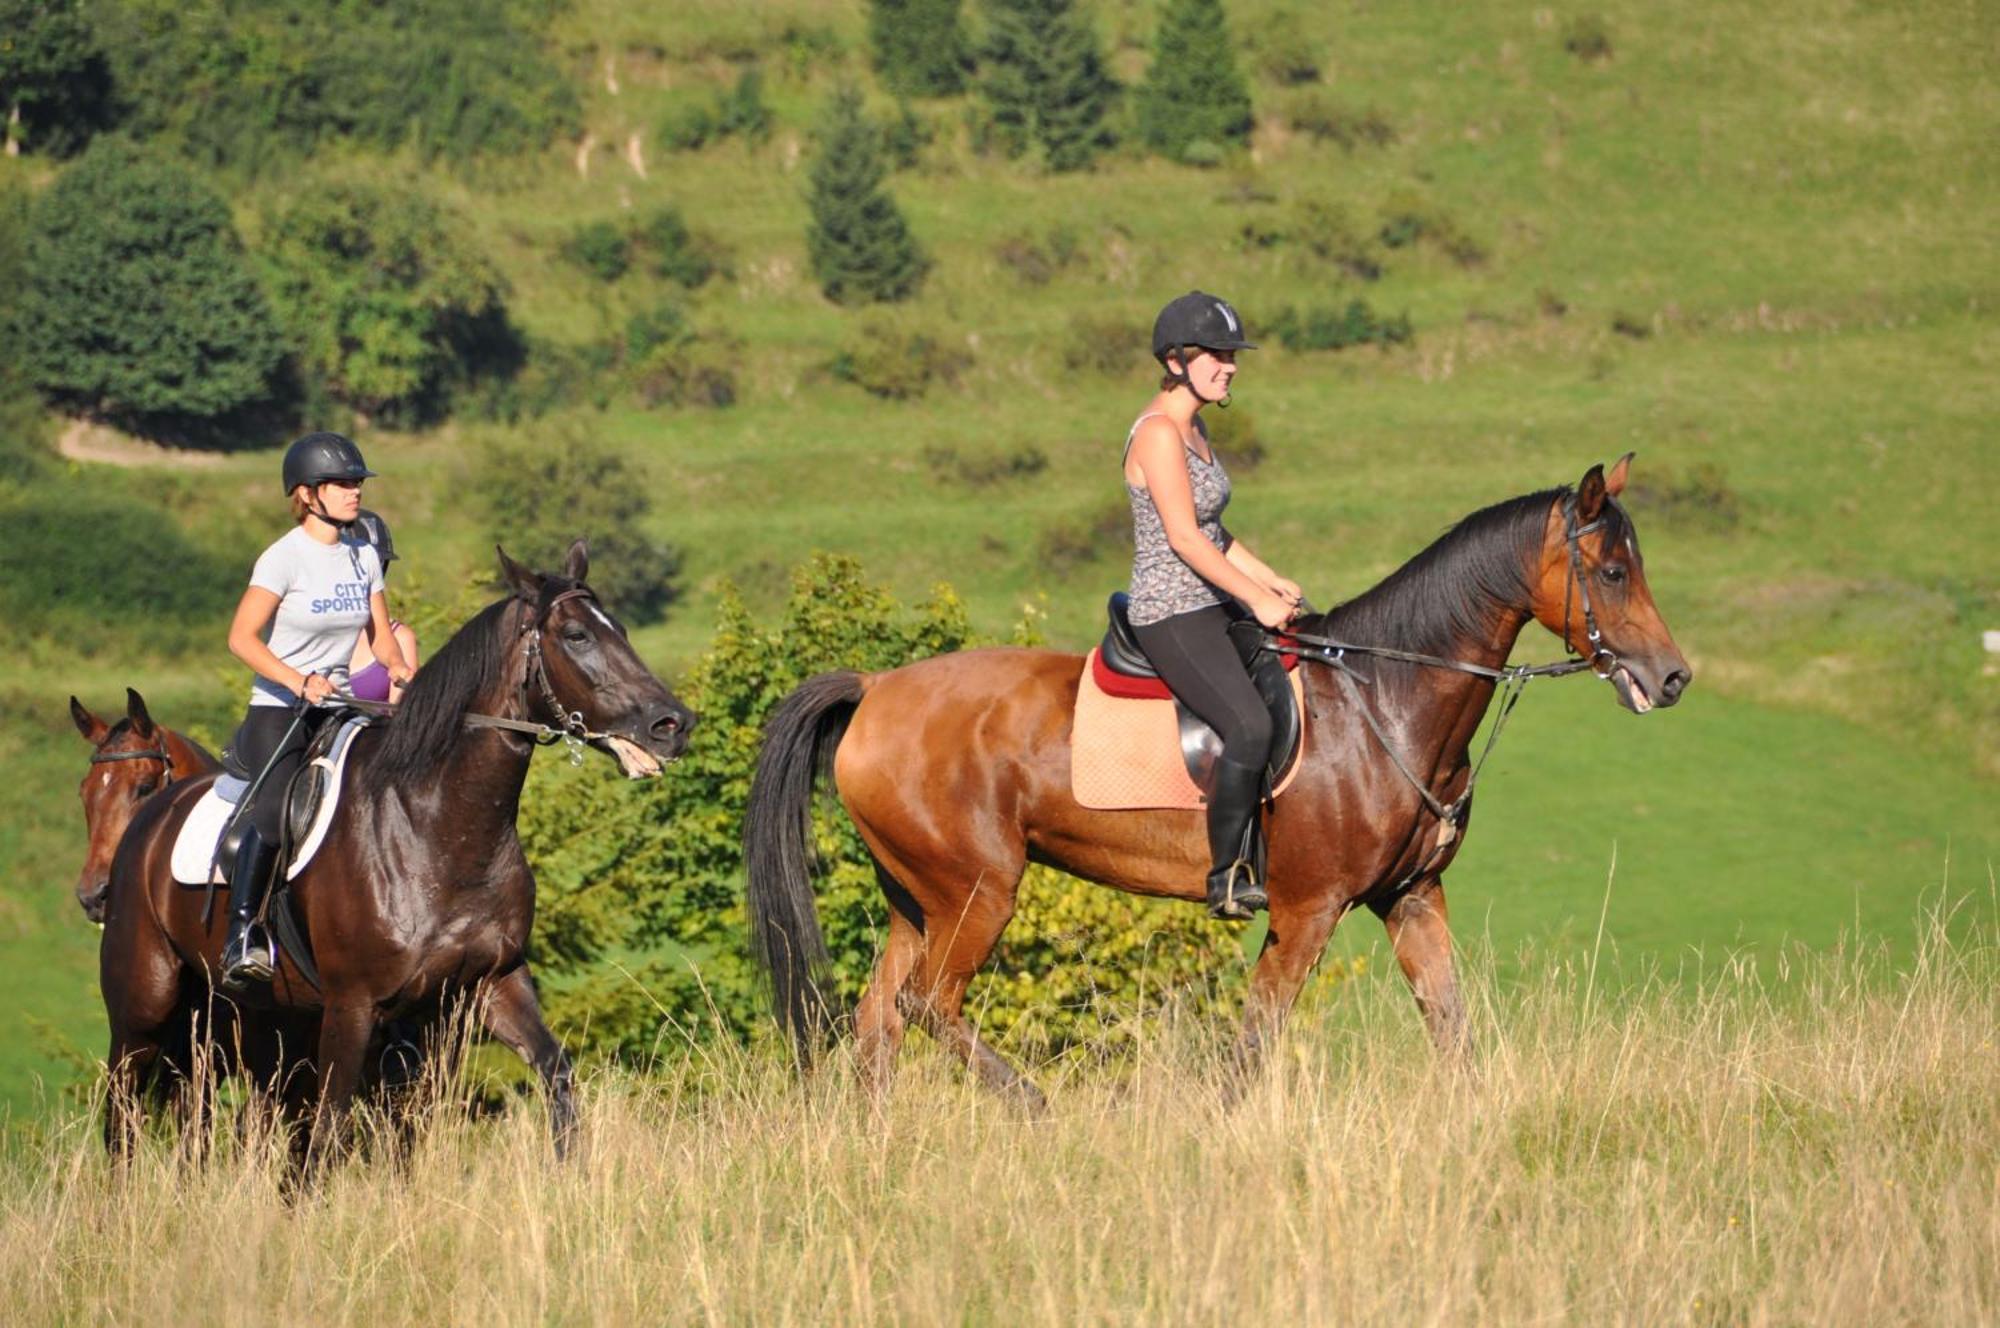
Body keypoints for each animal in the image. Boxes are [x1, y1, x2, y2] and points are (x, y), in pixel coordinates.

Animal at [101, 544, 696, 1160]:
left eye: (619, 628)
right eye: (577, 635)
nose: (673, 724)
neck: (439, 828)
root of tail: (148, 822)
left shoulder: (491, 982)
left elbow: (555, 1073)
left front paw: (566, 1168)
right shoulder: (353, 1005)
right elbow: (329, 1128)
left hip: (228, 1016)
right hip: (142, 1009)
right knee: (121, 1116)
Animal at [748, 462, 1688, 1104]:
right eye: (1613, 573)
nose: (1673, 678)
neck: (1385, 696)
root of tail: (877, 688)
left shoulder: (1413, 898)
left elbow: (1449, 1026)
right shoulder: (1308, 910)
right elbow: (1257, 1040)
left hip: (920, 898)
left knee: (880, 1021)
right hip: (978, 889)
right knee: (927, 1004)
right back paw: (1035, 1107)